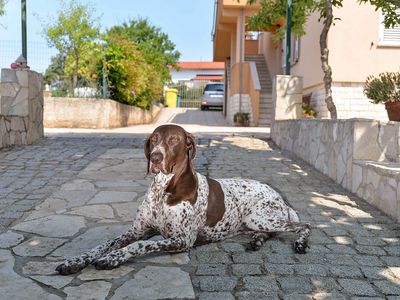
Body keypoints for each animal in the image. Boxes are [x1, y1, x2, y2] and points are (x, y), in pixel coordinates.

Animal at [55, 123, 310, 274]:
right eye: (154, 139)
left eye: (174, 140)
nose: (156, 158)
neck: (163, 190)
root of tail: (279, 196)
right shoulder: (138, 230)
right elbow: (104, 243)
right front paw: (76, 260)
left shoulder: (181, 239)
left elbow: (138, 245)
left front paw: (114, 257)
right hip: (255, 222)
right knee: (272, 232)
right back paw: (257, 240)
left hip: (260, 217)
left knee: (303, 225)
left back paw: (300, 243)